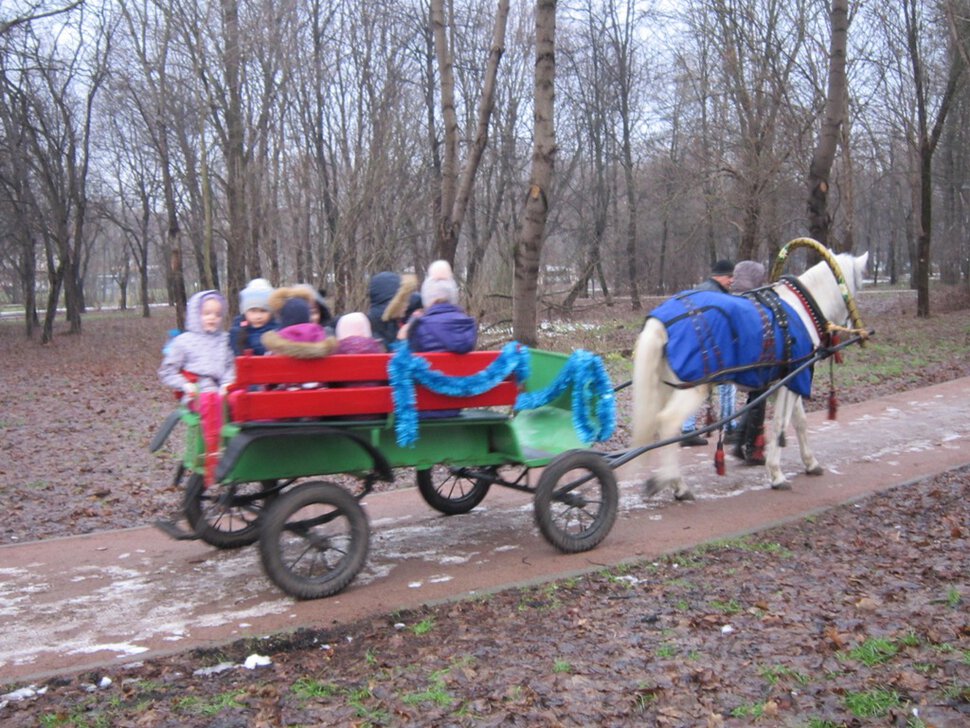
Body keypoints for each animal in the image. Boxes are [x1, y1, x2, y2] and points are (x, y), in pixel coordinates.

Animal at [632, 252, 864, 500]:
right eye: (857, 284)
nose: (853, 327)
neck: (800, 308)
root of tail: (662, 321)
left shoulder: (787, 382)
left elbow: (800, 422)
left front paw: (810, 463)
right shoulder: (792, 380)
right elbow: (780, 424)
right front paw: (776, 474)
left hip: (667, 387)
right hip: (692, 389)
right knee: (668, 422)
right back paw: (678, 485)